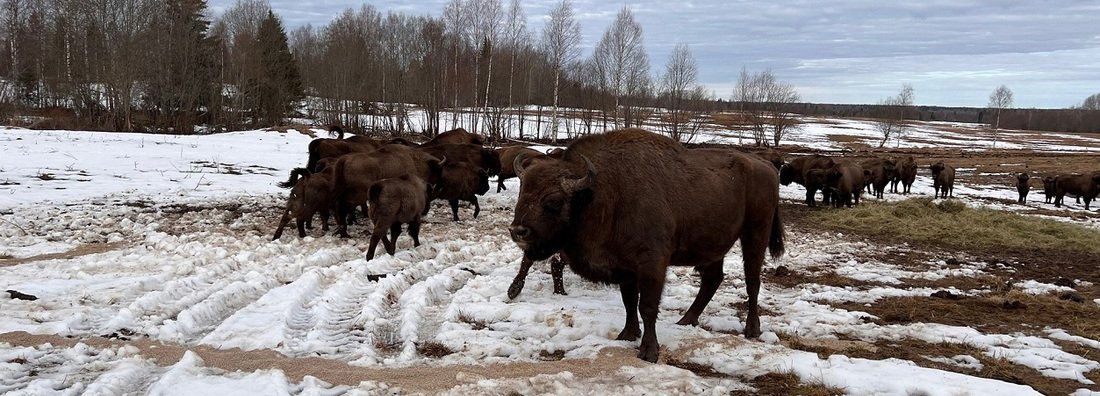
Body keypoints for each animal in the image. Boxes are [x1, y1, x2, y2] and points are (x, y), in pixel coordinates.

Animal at [506, 129, 783, 363]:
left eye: (553, 200)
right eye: (523, 192)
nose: (518, 231)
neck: (601, 193)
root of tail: (767, 167)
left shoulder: (652, 264)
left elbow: (647, 306)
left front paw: (649, 351)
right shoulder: (625, 268)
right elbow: (629, 302)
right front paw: (627, 335)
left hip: (755, 234)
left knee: (752, 280)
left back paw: (752, 329)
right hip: (715, 245)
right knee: (713, 279)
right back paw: (686, 320)